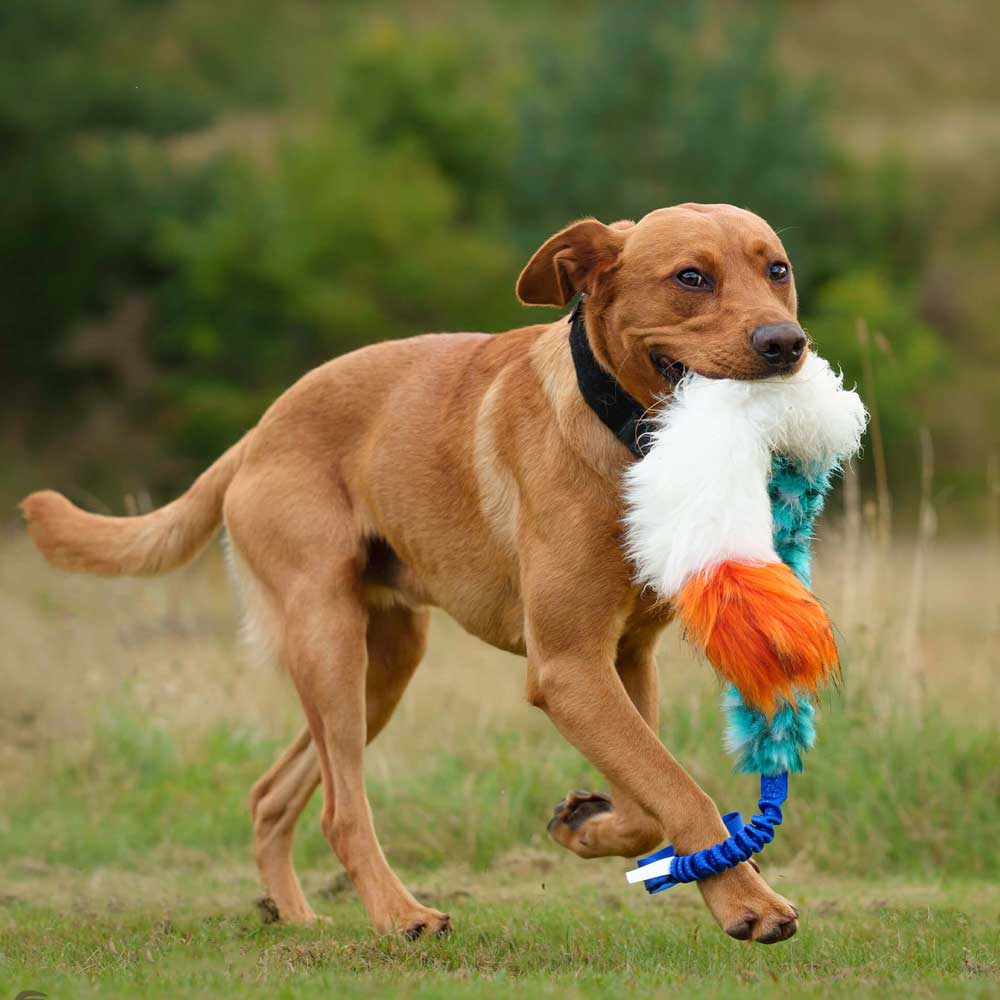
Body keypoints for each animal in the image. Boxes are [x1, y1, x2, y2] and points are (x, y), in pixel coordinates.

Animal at [21, 205, 804, 944]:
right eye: (691, 278)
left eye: (777, 269)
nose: (786, 344)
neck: (624, 434)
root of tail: (256, 433)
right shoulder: (568, 667)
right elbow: (681, 789)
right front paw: (749, 904)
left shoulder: (626, 657)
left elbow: (648, 797)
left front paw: (587, 824)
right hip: (329, 641)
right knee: (340, 809)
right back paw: (402, 915)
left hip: (387, 661)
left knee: (274, 793)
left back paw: (298, 916)